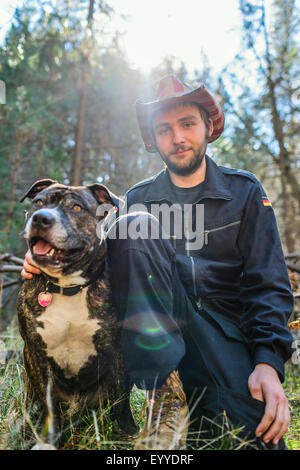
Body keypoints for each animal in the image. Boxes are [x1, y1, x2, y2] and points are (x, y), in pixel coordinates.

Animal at [17, 179, 137, 448]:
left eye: (76, 208)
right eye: (38, 202)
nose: (41, 218)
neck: (68, 287)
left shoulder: (118, 350)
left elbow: (122, 400)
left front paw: (127, 433)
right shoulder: (36, 351)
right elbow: (49, 404)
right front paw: (48, 439)